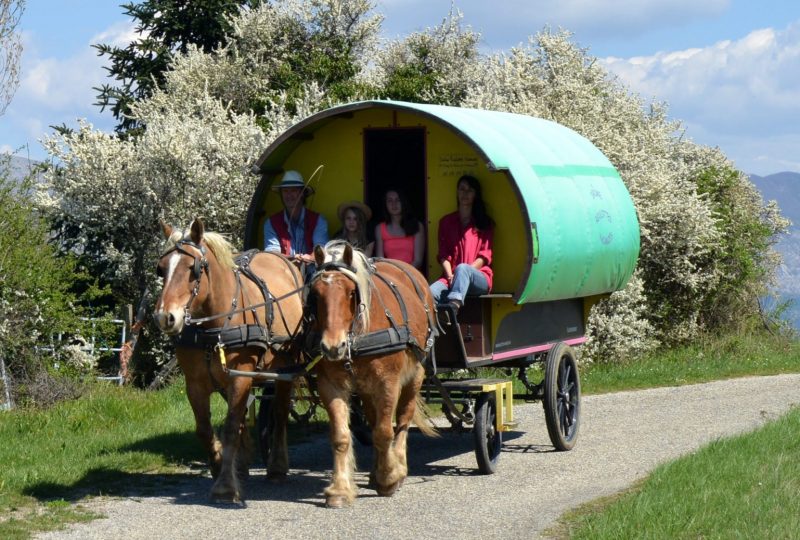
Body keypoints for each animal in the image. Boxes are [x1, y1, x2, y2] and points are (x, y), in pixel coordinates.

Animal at [153, 218, 304, 502]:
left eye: (193, 269)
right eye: (161, 269)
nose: (164, 317)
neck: (213, 327)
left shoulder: (241, 376)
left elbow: (232, 426)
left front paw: (225, 485)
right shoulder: (195, 383)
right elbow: (204, 429)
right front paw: (219, 466)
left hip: (285, 367)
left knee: (279, 412)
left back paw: (277, 467)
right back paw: (242, 465)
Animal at [308, 240, 438, 506]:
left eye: (351, 293)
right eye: (316, 294)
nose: (332, 347)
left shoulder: (388, 383)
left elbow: (384, 432)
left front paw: (389, 477)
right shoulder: (330, 384)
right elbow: (341, 436)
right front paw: (340, 489)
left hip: (415, 375)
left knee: (403, 420)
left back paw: (397, 467)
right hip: (367, 389)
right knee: (375, 417)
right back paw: (374, 472)